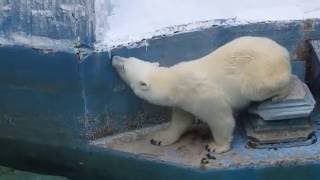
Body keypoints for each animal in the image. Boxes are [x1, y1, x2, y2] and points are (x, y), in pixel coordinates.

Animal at [111, 36, 292, 153]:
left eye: (124, 67)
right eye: (129, 58)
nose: (114, 57)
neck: (175, 82)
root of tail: (283, 51)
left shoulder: (202, 95)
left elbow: (221, 119)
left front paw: (216, 146)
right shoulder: (182, 102)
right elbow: (181, 121)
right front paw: (160, 138)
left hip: (261, 70)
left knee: (256, 88)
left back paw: (279, 94)